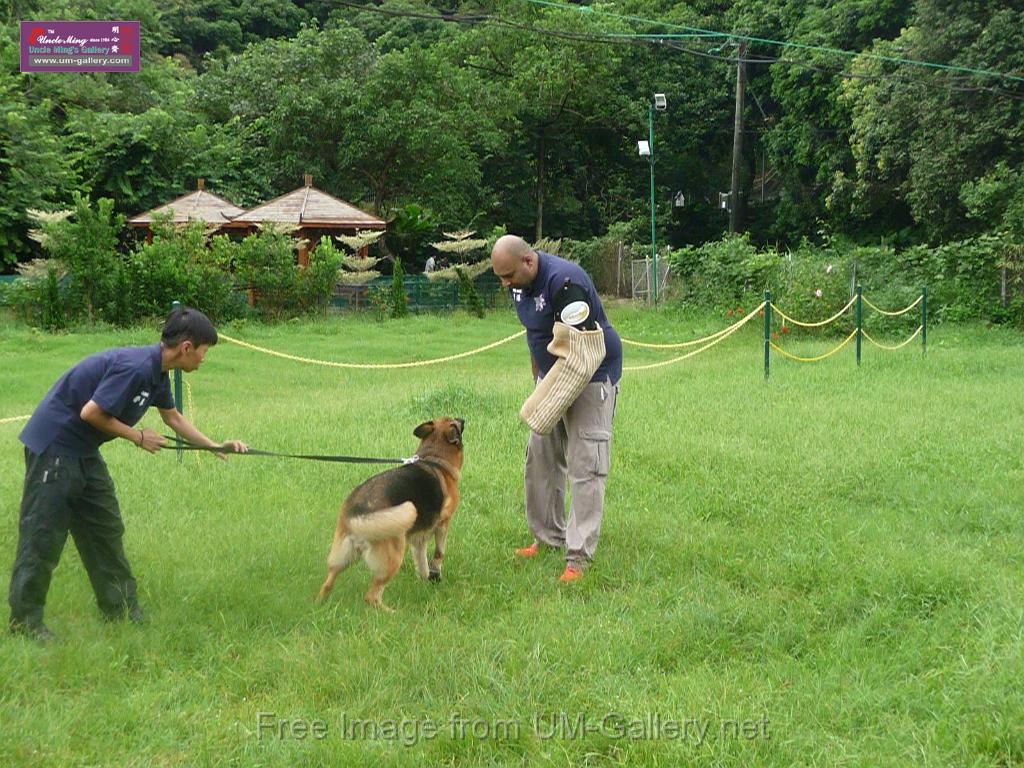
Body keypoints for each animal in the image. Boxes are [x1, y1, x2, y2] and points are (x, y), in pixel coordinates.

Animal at [315, 417, 468, 610]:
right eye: (455, 421)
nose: (463, 419)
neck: (435, 459)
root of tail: (359, 513)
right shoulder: (443, 524)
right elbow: (439, 553)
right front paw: (435, 576)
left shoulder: (419, 538)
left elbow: (422, 562)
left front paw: (426, 582)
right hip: (392, 557)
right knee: (371, 596)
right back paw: (391, 612)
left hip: (343, 555)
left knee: (327, 583)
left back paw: (319, 603)